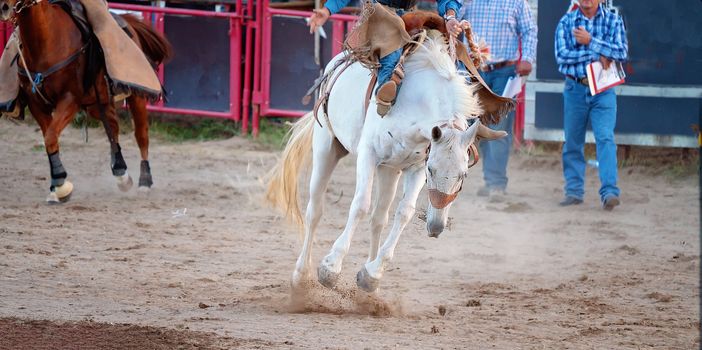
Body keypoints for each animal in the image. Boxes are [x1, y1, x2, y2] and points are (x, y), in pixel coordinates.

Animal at [0, 0, 173, 202]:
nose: (4, 7)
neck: (46, 40)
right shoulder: (37, 104)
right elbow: (50, 138)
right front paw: (57, 187)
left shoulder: (70, 100)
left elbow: (50, 136)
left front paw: (60, 184)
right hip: (97, 103)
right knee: (113, 127)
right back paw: (121, 173)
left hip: (135, 95)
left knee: (141, 135)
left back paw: (144, 182)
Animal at [266, 30, 516, 292]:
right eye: (432, 170)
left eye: (464, 175)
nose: (437, 227)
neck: (415, 104)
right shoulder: (368, 154)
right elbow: (360, 205)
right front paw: (331, 267)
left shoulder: (414, 168)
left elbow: (404, 213)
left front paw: (372, 273)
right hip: (326, 146)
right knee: (315, 210)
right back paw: (301, 274)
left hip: (389, 170)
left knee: (379, 218)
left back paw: (368, 282)